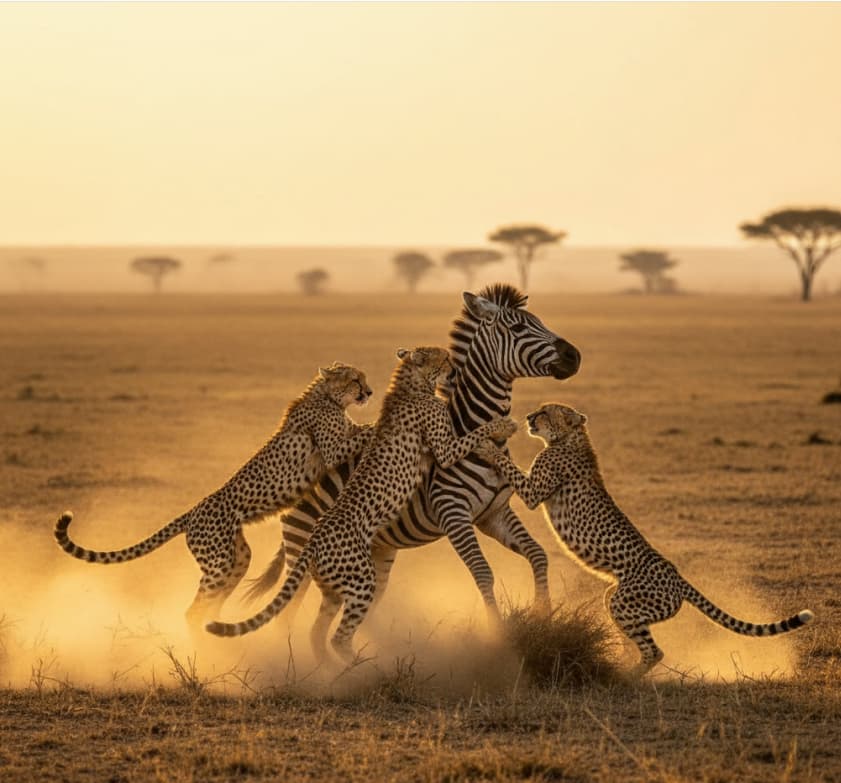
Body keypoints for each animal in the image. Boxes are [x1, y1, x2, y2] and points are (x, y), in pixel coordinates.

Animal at [246, 283, 581, 638]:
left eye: (539, 320)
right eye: (518, 327)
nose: (574, 356)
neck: (468, 425)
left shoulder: (494, 514)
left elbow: (538, 555)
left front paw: (544, 618)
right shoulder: (454, 514)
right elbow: (483, 573)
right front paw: (498, 635)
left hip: (374, 550)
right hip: (303, 540)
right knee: (287, 610)